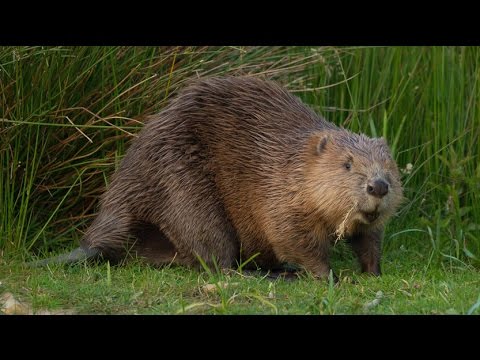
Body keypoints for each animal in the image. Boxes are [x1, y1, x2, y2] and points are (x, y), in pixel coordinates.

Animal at [31, 75, 404, 278]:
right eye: (347, 164)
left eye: (389, 166)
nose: (378, 186)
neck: (293, 163)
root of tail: (96, 239)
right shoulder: (277, 194)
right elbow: (292, 238)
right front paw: (328, 276)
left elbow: (369, 238)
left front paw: (373, 272)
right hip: (185, 191)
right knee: (216, 260)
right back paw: (276, 275)